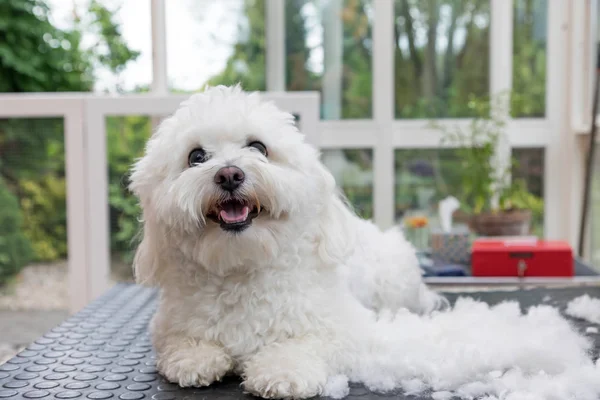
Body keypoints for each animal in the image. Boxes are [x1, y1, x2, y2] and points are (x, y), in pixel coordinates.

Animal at [130, 85, 446, 400]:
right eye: (195, 156)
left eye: (259, 147)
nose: (229, 174)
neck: (241, 270)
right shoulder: (169, 326)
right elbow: (183, 341)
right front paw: (195, 357)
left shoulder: (341, 329)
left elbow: (304, 343)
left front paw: (282, 370)